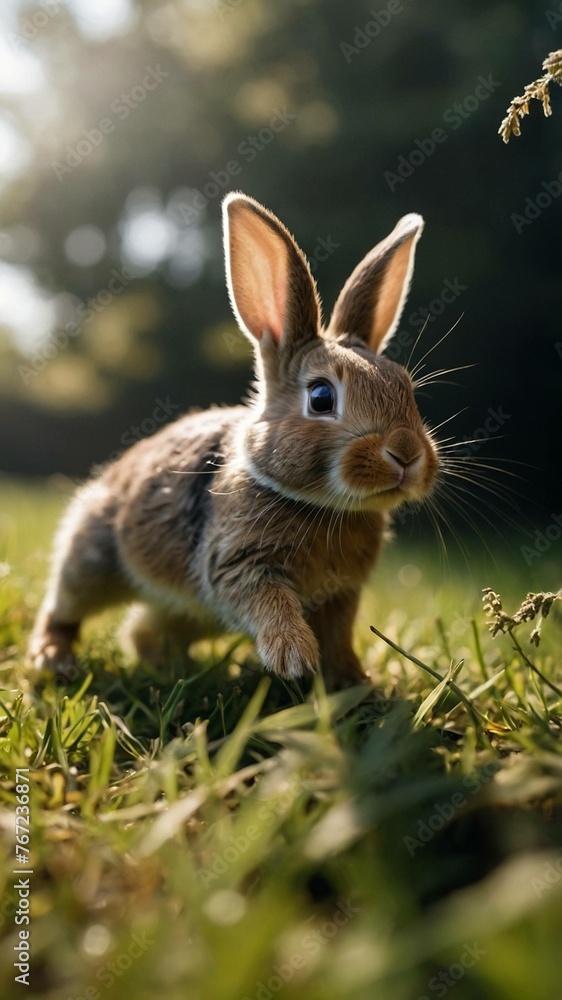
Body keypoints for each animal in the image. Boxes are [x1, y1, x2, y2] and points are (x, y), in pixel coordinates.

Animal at [28, 192, 438, 688]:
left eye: (406, 388)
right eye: (321, 397)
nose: (407, 454)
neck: (321, 505)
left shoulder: (343, 594)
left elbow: (340, 637)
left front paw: (353, 683)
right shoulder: (239, 564)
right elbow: (269, 602)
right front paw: (294, 657)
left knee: (141, 630)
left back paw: (169, 667)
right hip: (91, 558)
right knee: (64, 606)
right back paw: (54, 658)